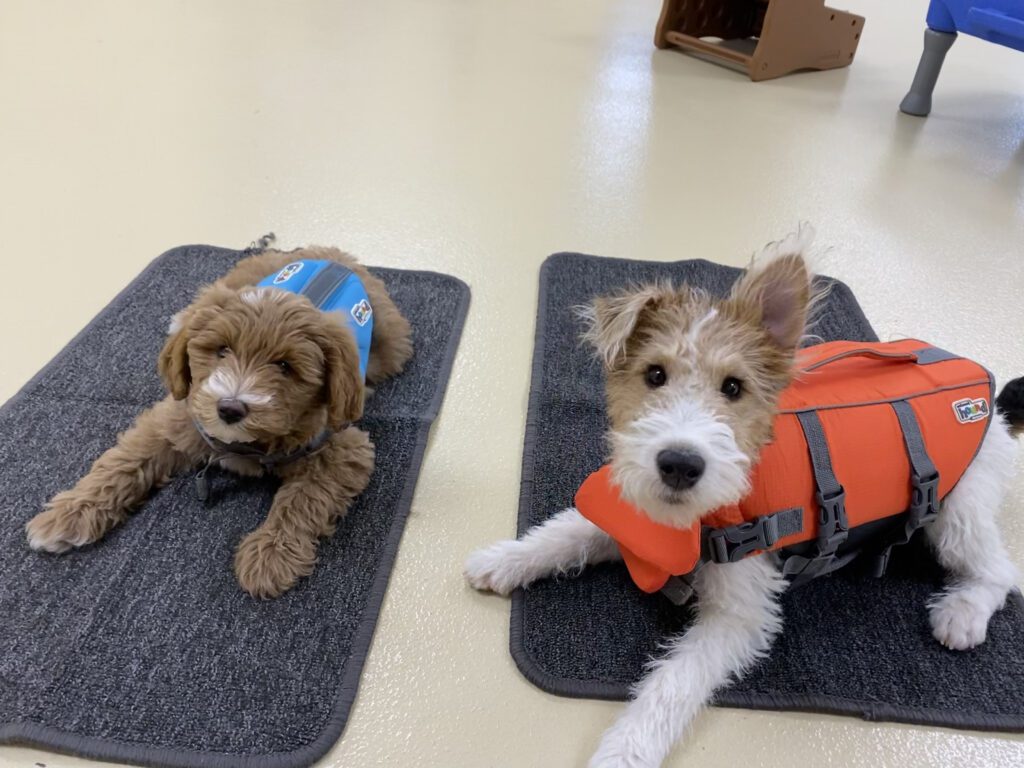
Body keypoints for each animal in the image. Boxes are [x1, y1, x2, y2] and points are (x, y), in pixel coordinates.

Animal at [24, 246, 407, 602]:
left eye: (284, 366)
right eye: (222, 350)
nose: (230, 408)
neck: (243, 442)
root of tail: (331, 254)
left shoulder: (343, 447)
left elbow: (305, 498)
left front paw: (270, 554)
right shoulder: (178, 416)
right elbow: (124, 460)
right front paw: (70, 514)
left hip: (391, 345)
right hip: (230, 282)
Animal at [466, 230, 1024, 768]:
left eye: (733, 387)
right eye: (654, 375)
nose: (680, 463)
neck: (703, 516)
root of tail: (990, 404)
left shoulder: (741, 614)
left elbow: (671, 686)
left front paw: (623, 752)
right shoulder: (639, 513)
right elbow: (567, 531)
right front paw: (504, 559)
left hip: (958, 511)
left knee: (999, 570)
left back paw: (961, 614)